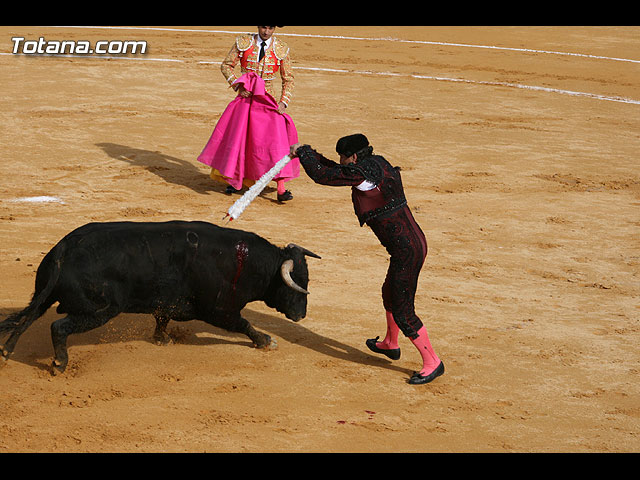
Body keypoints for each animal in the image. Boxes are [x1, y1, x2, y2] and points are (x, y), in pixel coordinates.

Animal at [0, 221, 320, 376]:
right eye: (299, 283)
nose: (301, 315)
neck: (245, 261)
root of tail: (65, 247)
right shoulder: (220, 310)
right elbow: (243, 325)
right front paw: (266, 341)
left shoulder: (169, 301)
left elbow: (162, 317)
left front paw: (161, 338)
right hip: (100, 310)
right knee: (58, 327)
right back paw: (59, 365)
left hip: (44, 295)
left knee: (28, 318)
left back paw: (6, 352)